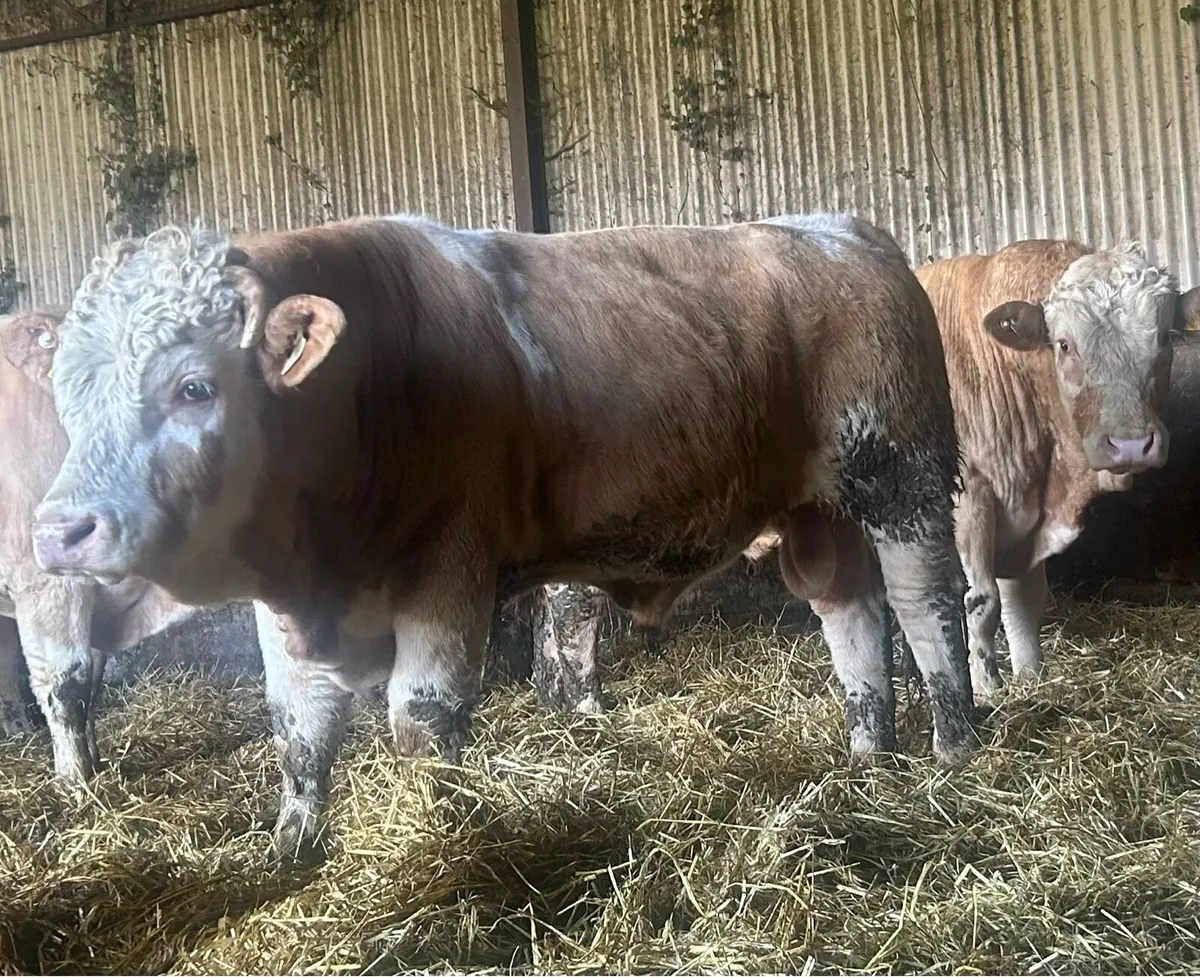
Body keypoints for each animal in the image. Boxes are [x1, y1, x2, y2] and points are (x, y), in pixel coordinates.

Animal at [30, 213, 974, 860]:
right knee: (851, 615)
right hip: (822, 515)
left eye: (194, 386)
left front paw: (434, 836)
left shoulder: (449, 571)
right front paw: (291, 850)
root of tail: (843, 231)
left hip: (905, 480)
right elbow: (298, 727)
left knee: (928, 609)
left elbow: (422, 716)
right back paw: (869, 755)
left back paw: (953, 749)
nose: (60, 529)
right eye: (65, 392)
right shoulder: (287, 607)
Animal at [915, 240, 1200, 698]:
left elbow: (1024, 602)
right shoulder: (969, 495)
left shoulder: (1028, 518)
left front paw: (1031, 677)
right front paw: (987, 688)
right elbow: (982, 601)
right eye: (1064, 344)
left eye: (1165, 337)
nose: (1131, 444)